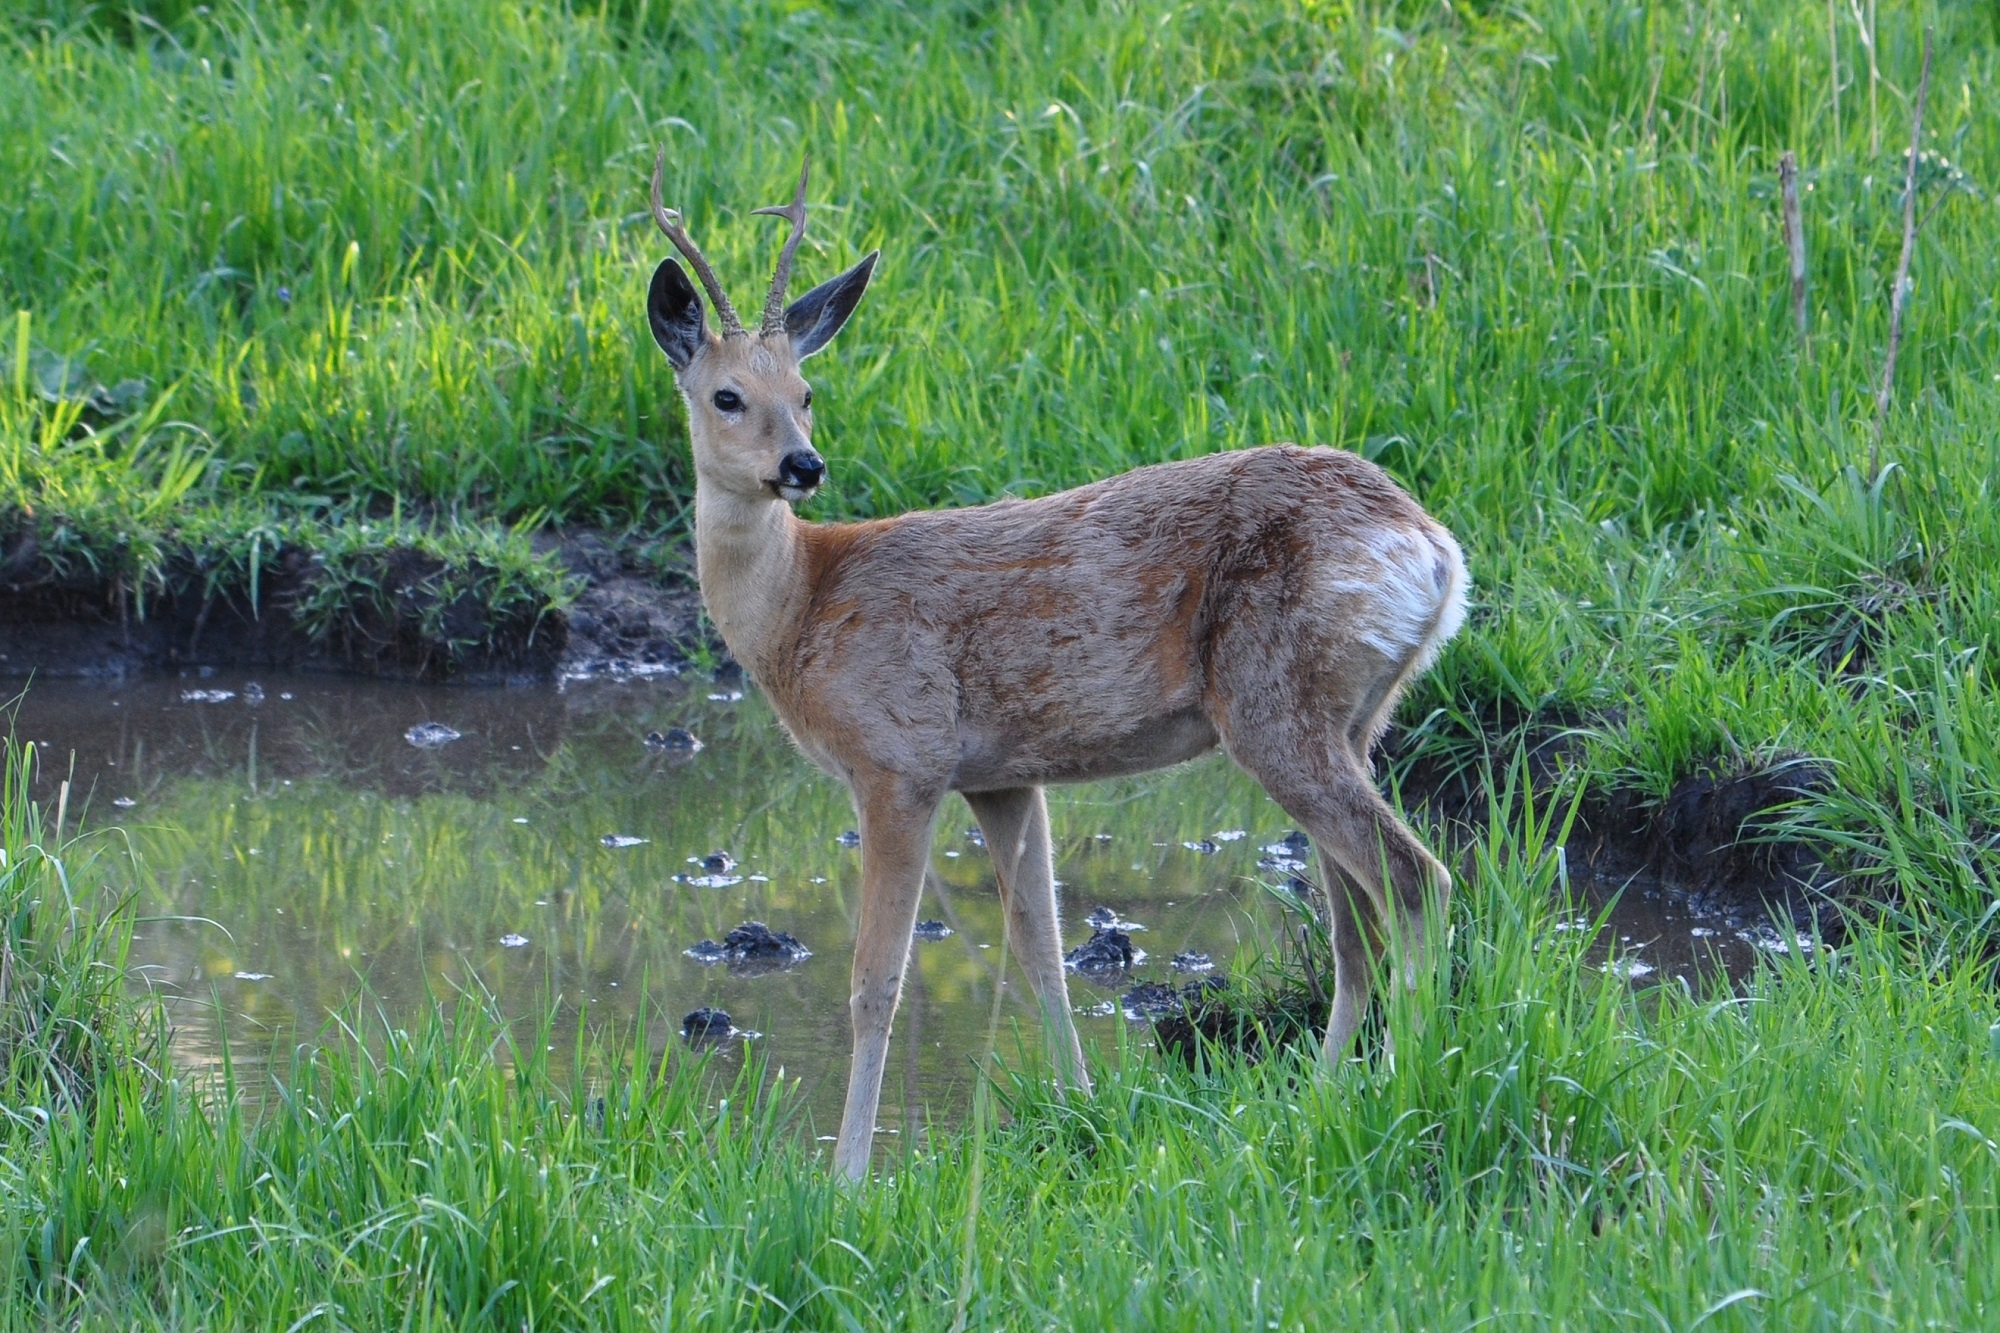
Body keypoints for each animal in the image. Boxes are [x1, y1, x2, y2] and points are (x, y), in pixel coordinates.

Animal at [644, 150, 1472, 1176]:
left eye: (805, 393)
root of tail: (1433, 548)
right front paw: (1083, 1112)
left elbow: (876, 980)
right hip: (1353, 717)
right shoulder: (1002, 775)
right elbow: (1041, 949)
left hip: (1275, 706)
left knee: (1415, 881)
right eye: (728, 396)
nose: (804, 465)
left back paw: (1407, 1081)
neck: (801, 606)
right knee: (1356, 925)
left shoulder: (899, 758)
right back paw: (1325, 1097)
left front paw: (847, 1175)